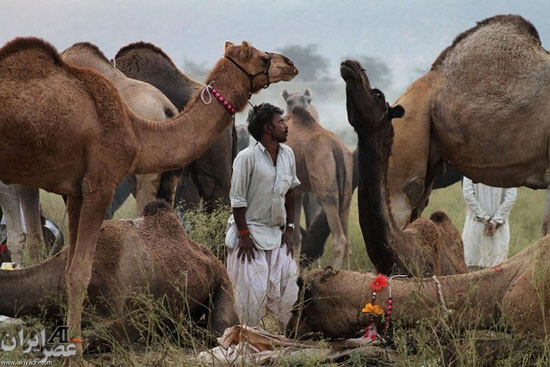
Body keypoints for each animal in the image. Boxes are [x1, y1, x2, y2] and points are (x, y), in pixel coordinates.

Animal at [282, 88, 356, 270]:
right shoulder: (298, 191)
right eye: (289, 101)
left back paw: (334, 273)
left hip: (325, 187)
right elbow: (296, 238)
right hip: (346, 189)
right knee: (348, 240)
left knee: (339, 238)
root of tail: (335, 147)